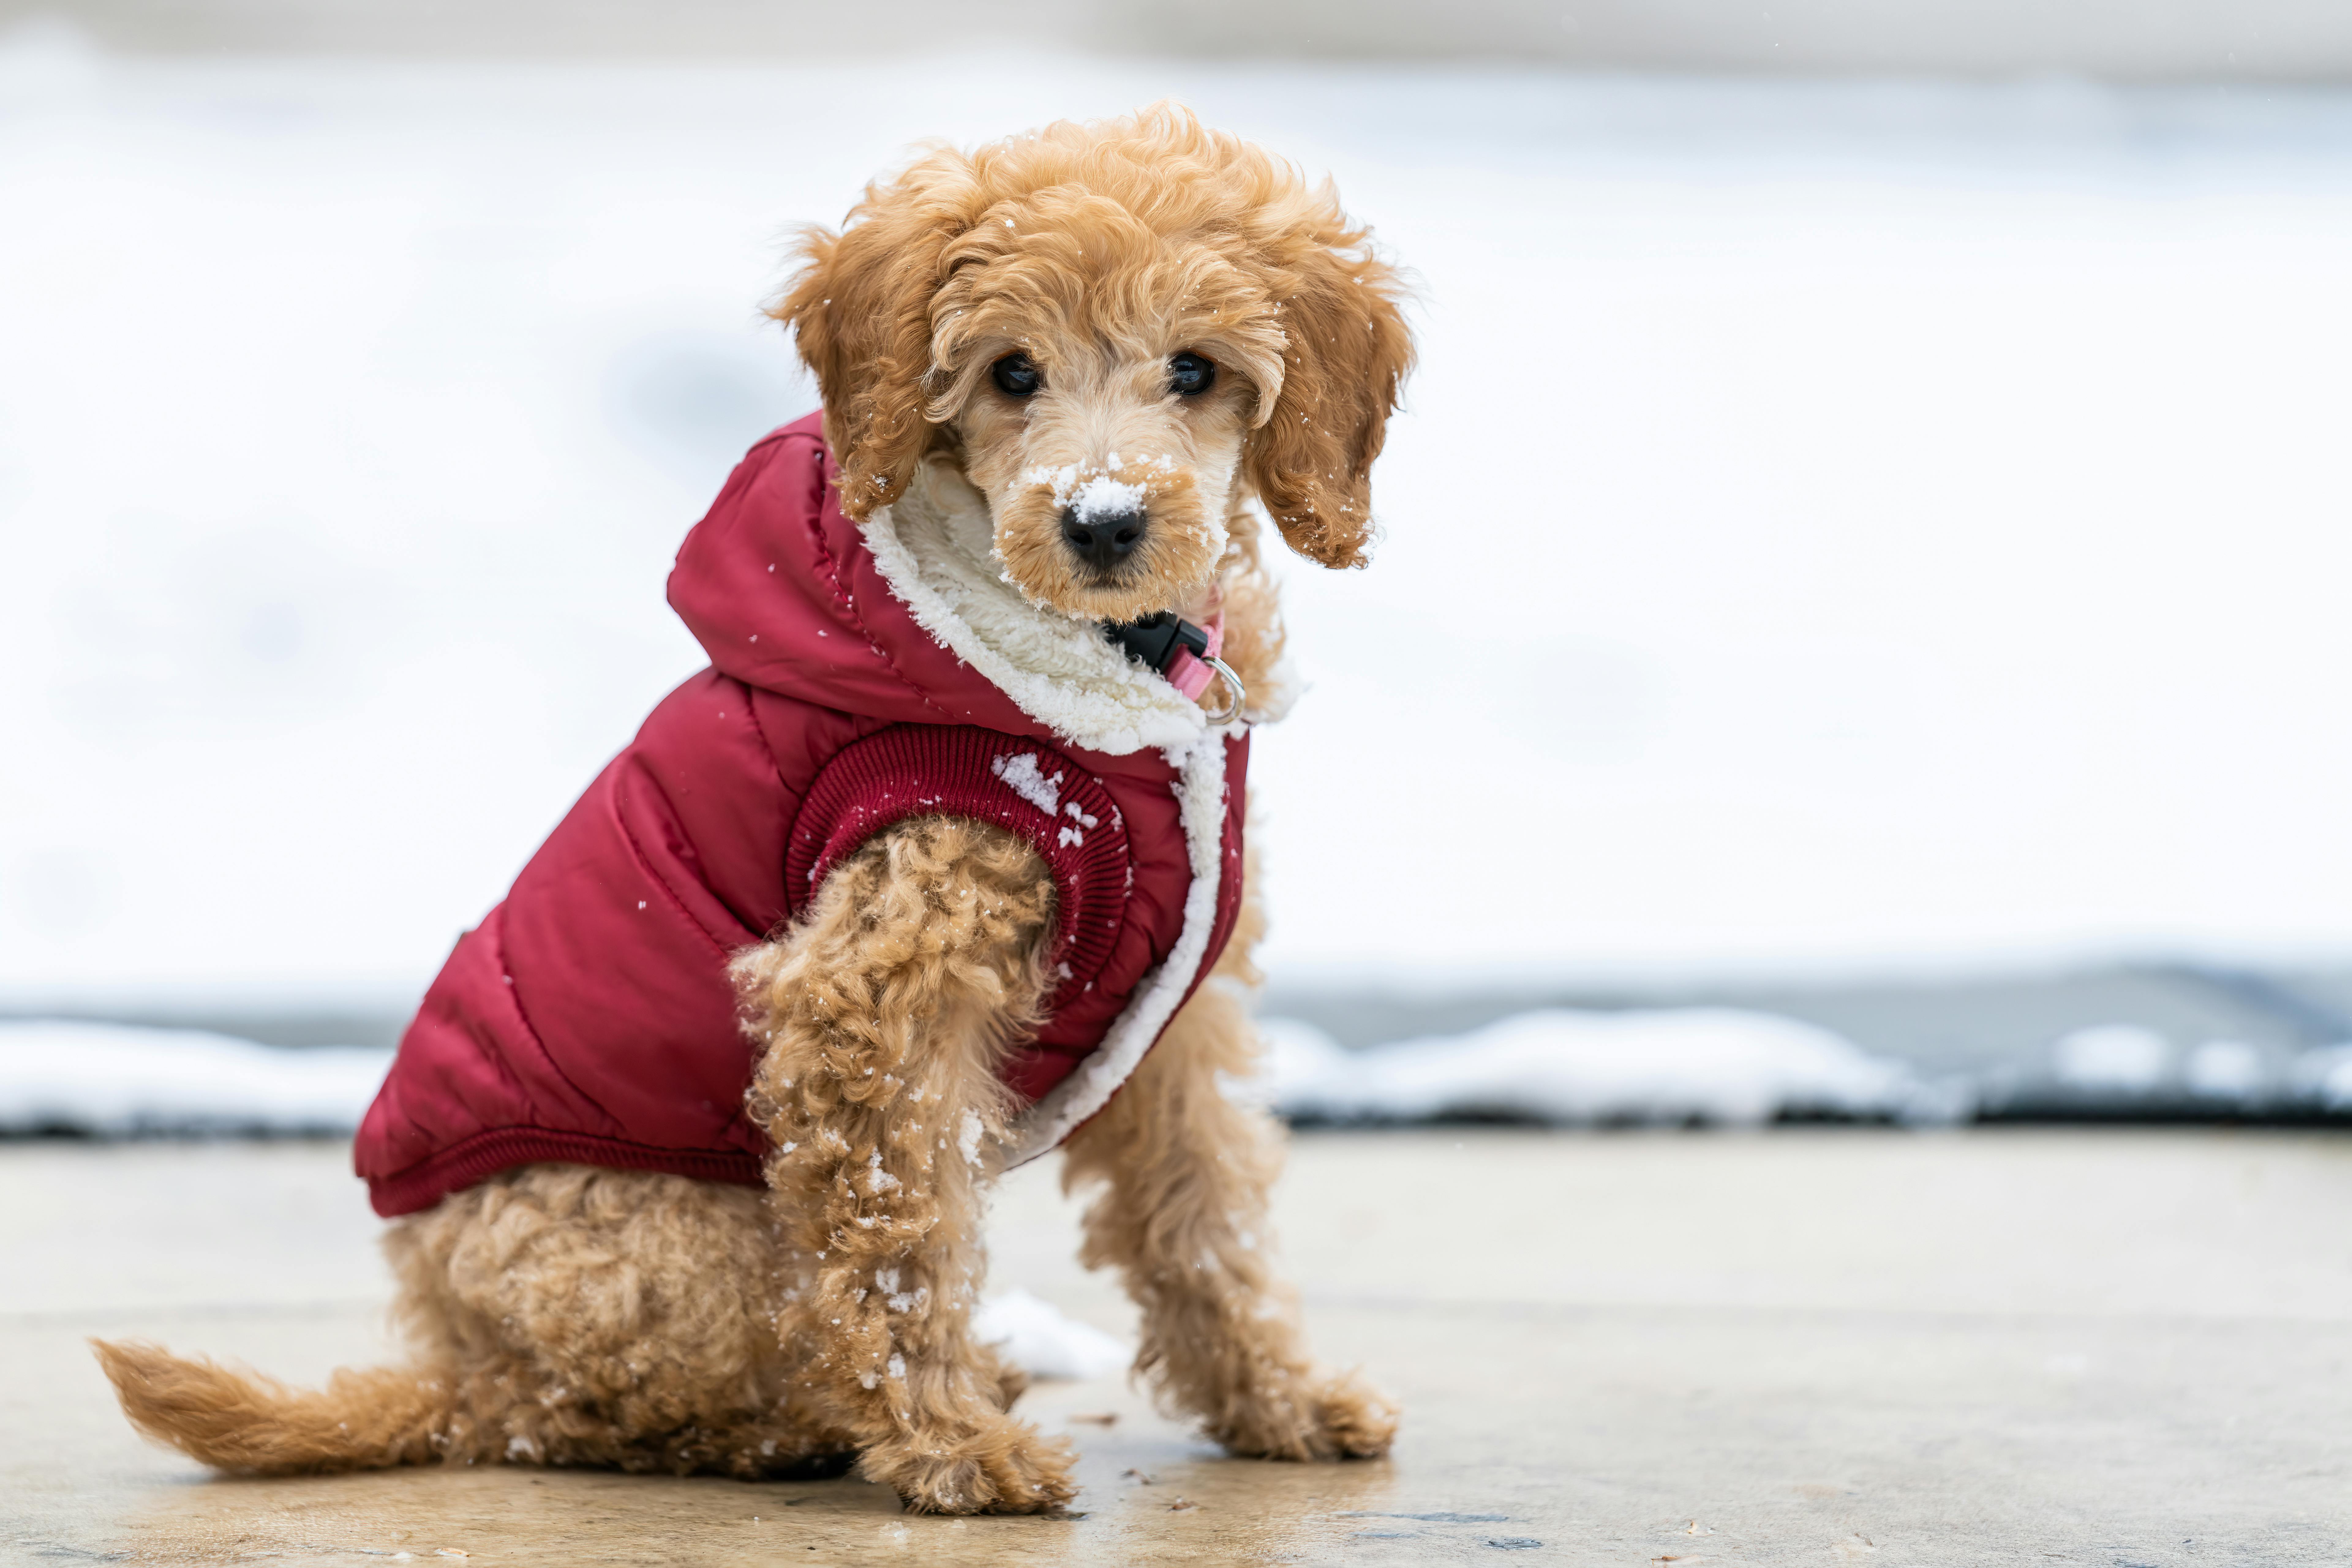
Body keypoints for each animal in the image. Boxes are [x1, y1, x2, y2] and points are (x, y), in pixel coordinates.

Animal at [96, 104, 1411, 1514]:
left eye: (1196, 370)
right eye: (1012, 373)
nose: (1102, 520)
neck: (1101, 681)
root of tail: (457, 1358)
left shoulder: (1176, 1016)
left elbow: (1203, 1211)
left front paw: (1281, 1401)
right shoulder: (876, 991)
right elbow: (899, 1235)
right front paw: (955, 1449)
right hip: (676, 1236)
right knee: (614, 1405)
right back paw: (813, 1423)